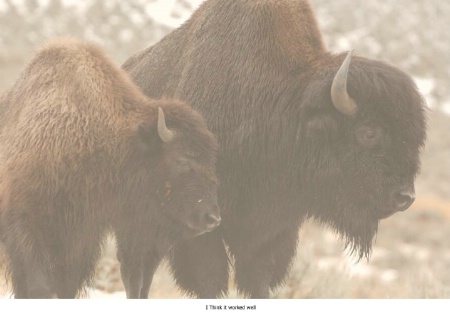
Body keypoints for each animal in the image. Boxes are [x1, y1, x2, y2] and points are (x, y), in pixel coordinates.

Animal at [0, 38, 220, 298]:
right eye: (182, 159)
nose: (212, 218)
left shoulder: (82, 238)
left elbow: (66, 287)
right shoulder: (26, 225)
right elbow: (38, 287)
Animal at [122, 0, 426, 298]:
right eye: (369, 132)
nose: (405, 197)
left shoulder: (273, 233)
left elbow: (259, 281)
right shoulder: (202, 228)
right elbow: (210, 281)